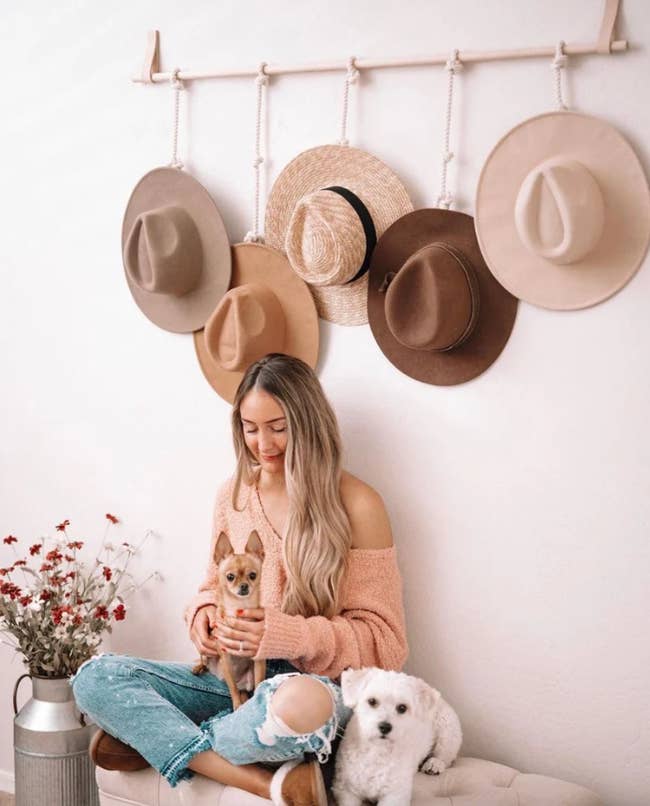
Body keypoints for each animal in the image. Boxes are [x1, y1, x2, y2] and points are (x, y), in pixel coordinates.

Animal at [330, 668, 460, 806]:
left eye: (402, 707)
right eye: (372, 701)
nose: (385, 727)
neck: (377, 750)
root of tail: (442, 700)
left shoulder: (395, 795)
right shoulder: (345, 790)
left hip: (448, 731)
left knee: (444, 756)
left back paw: (434, 764)